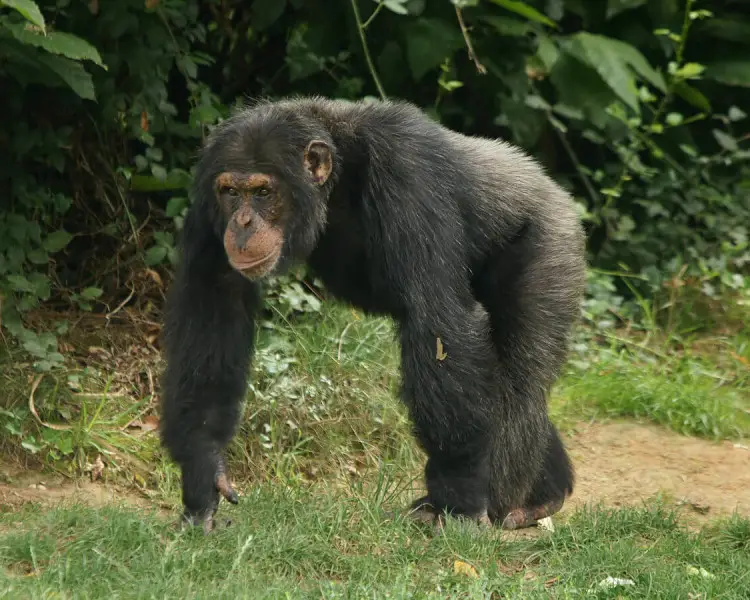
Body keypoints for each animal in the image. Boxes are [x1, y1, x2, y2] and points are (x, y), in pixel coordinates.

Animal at [159, 96, 586, 533]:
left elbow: (437, 320)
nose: (242, 223)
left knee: (520, 378)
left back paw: (507, 501)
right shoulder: (207, 204)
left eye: (263, 191)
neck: (337, 178)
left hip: (549, 246)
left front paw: (461, 497)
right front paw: (204, 472)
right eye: (230, 191)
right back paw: (544, 492)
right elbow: (214, 307)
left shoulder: (409, 173)